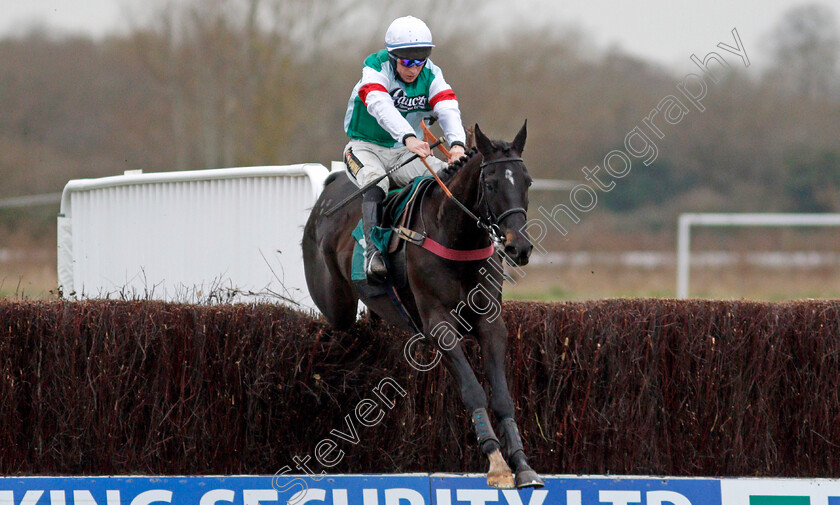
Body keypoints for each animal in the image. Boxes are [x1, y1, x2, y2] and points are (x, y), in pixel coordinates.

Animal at [298, 123, 540, 488]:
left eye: (527, 181)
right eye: (491, 183)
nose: (518, 248)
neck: (456, 236)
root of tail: (331, 188)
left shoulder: (490, 322)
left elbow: (501, 395)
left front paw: (522, 464)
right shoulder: (438, 324)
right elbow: (473, 390)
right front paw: (497, 463)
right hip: (334, 302)